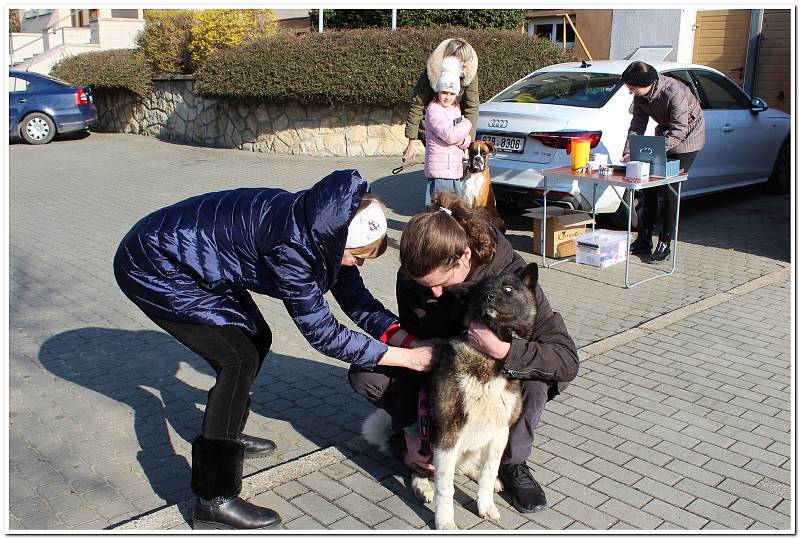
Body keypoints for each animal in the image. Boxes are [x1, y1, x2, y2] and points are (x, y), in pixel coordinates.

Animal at [366, 264, 540, 528]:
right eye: (482, 291)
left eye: (508, 289)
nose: (489, 297)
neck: (489, 360)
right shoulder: (448, 433)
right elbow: (445, 488)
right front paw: (445, 522)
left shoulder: (500, 432)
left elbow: (489, 473)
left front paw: (486, 504)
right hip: (426, 446)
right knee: (418, 469)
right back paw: (423, 487)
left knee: (467, 468)